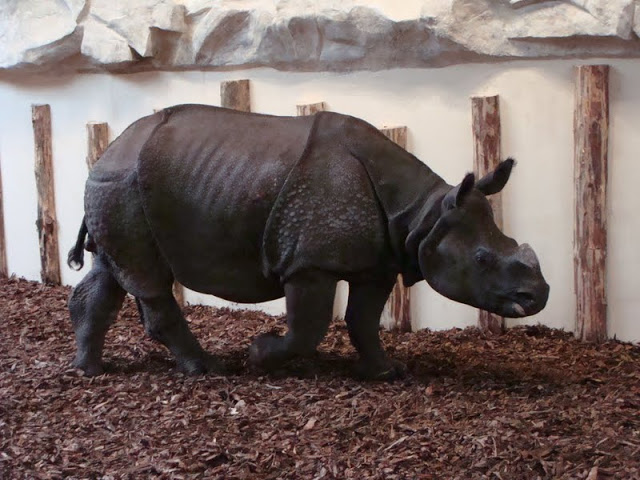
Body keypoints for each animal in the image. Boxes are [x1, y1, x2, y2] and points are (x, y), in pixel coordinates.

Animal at [67, 105, 549, 380]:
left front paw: (386, 372)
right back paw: (206, 370)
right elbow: (308, 327)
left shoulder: (379, 262)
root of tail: (107, 151)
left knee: (114, 271)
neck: (423, 215)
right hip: (123, 185)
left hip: (117, 185)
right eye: (482, 259)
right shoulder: (308, 262)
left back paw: (89, 371)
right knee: (146, 278)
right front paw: (259, 355)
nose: (538, 295)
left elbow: (363, 320)